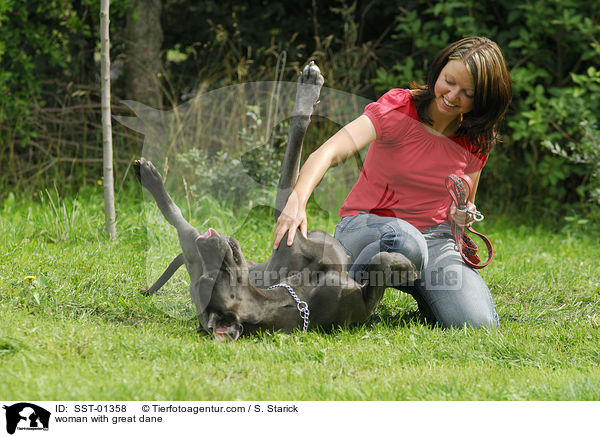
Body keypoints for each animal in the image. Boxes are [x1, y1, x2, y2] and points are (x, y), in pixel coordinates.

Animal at [136, 62, 418, 340]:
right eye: (211, 277)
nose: (206, 244)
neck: (293, 300)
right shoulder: (360, 301)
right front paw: (406, 267)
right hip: (195, 246)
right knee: (178, 219)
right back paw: (151, 178)